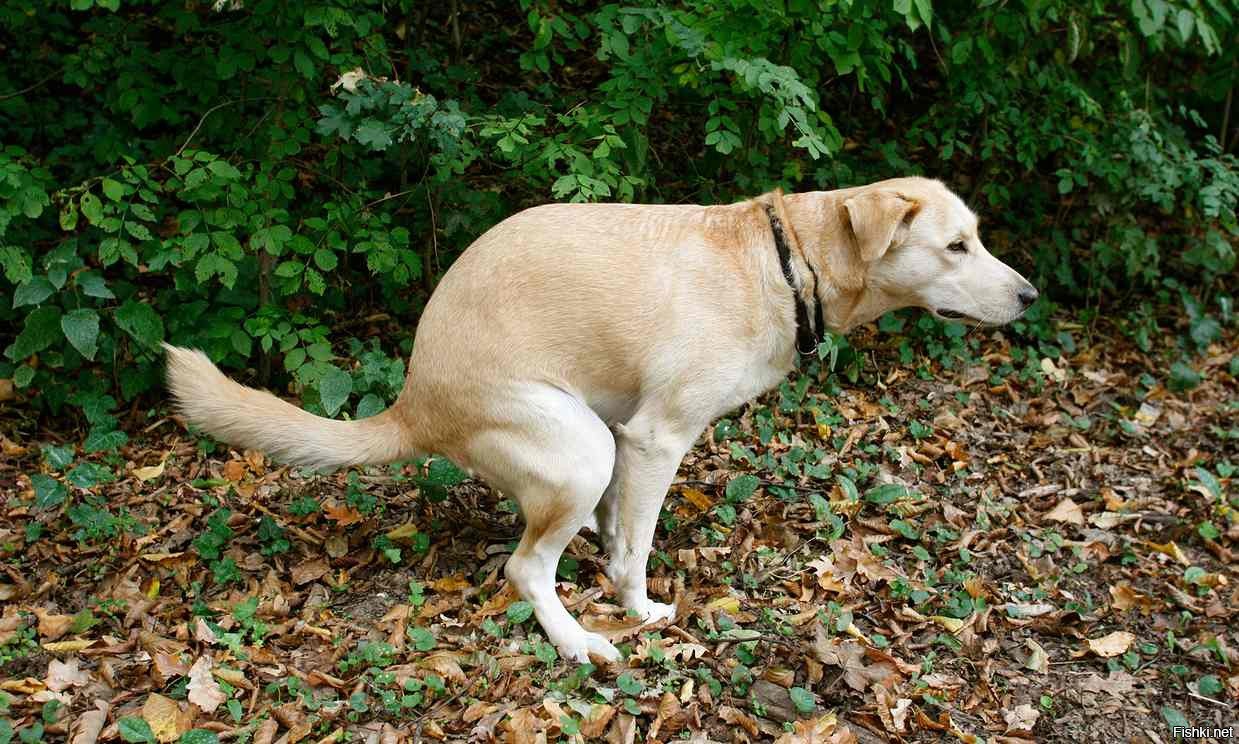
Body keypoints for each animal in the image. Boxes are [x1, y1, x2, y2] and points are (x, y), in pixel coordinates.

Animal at [164, 176, 1035, 664]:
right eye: (955, 247)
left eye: (976, 239)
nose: (1030, 296)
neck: (787, 261)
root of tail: (414, 401)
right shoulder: (652, 439)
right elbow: (636, 549)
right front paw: (637, 609)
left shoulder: (629, 437)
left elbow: (622, 532)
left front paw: (613, 561)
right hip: (579, 447)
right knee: (524, 570)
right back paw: (577, 640)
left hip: (585, 443)